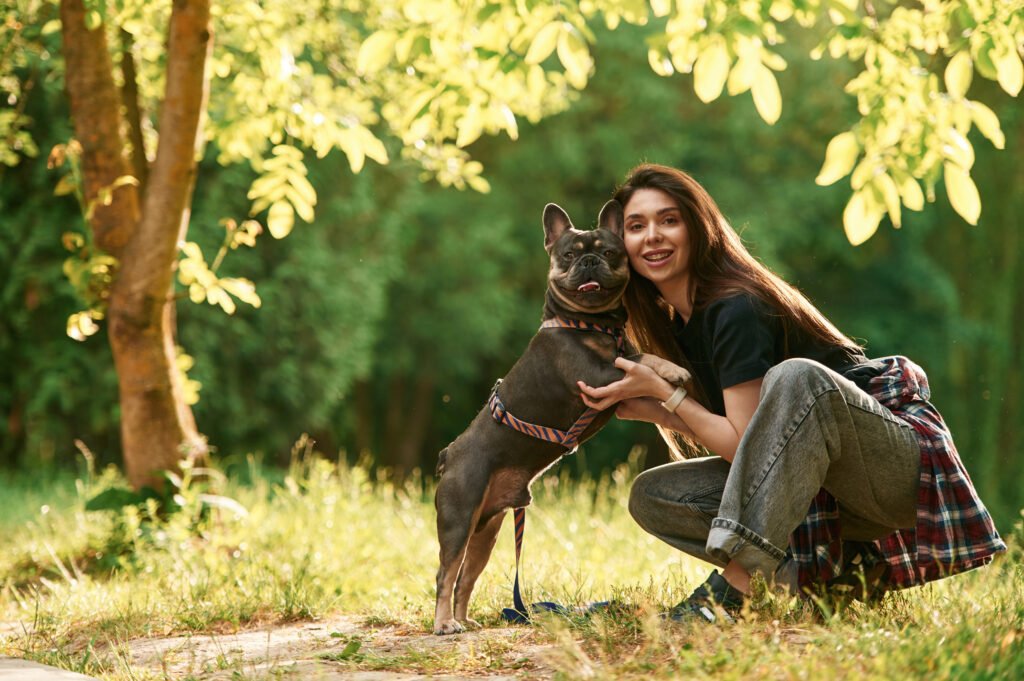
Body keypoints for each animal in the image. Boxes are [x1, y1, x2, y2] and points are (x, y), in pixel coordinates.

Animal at [432, 199, 688, 634]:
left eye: (609, 252)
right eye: (568, 255)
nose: (588, 261)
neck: (593, 322)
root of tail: (450, 454)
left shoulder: (614, 377)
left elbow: (640, 363)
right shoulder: (599, 376)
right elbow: (642, 361)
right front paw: (673, 370)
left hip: (486, 529)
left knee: (466, 576)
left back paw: (464, 619)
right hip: (459, 518)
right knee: (446, 573)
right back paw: (444, 624)